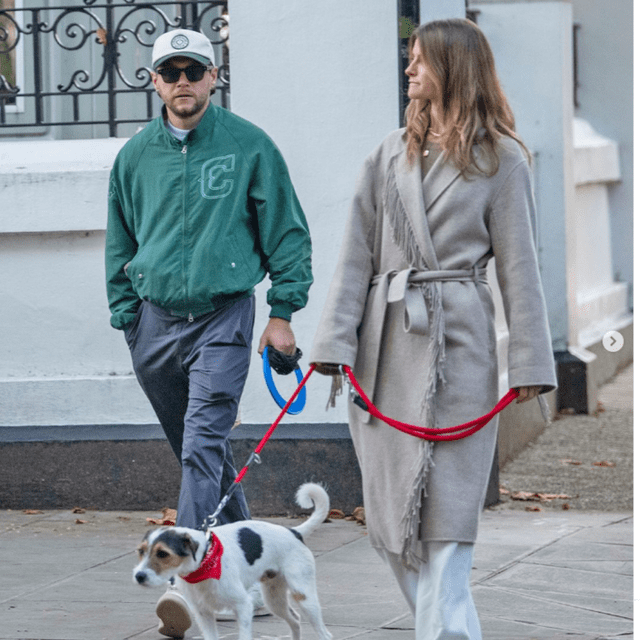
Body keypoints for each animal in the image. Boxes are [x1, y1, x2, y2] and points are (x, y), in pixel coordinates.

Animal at [135, 482, 336, 636]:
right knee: (295, 620)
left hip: (304, 595)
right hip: (274, 597)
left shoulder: (243, 607)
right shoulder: (203, 614)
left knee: (324, 634)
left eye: (163, 553)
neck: (205, 562)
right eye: (141, 551)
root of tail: (294, 532)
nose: (139, 576)